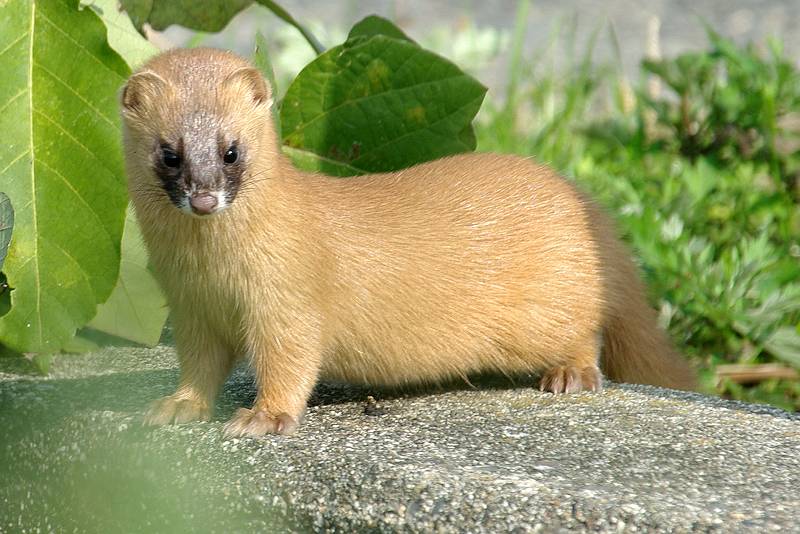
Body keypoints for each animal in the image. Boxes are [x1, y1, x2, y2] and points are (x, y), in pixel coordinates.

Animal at [119, 48, 692, 438]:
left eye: (231, 150)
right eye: (169, 153)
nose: (203, 199)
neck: (212, 273)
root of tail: (582, 200)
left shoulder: (289, 298)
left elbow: (290, 361)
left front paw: (263, 417)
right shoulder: (189, 308)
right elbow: (199, 366)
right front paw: (176, 406)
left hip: (551, 304)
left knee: (587, 329)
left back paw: (570, 374)